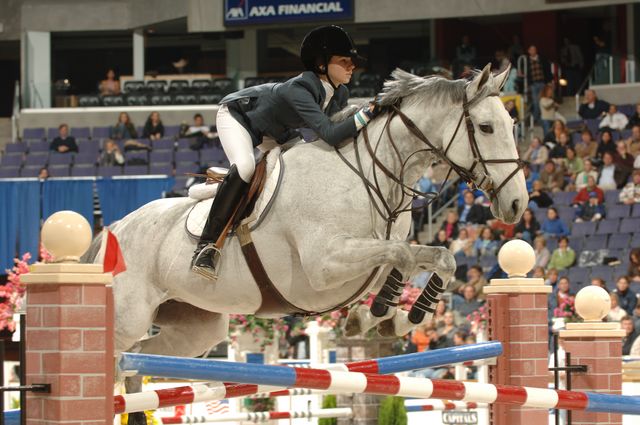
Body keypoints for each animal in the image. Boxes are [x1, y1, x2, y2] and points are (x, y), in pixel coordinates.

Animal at [85, 64, 524, 362]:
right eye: (486, 127)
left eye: (512, 123)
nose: (517, 204)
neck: (372, 174)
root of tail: (114, 228)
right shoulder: (324, 264)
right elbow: (400, 255)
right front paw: (377, 313)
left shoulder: (378, 249)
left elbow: (435, 257)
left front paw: (393, 318)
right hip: (129, 316)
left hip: (195, 327)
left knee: (144, 358)